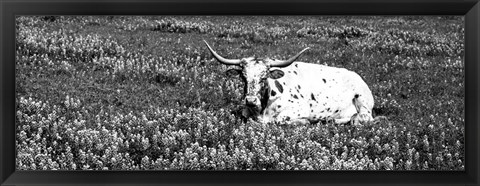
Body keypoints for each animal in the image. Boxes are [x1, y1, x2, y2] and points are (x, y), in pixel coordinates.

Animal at [202, 40, 376, 125]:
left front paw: (305, 121)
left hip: (362, 101)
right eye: (243, 77)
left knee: (363, 118)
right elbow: (244, 116)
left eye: (264, 77)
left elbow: (279, 120)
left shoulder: (299, 109)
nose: (250, 100)